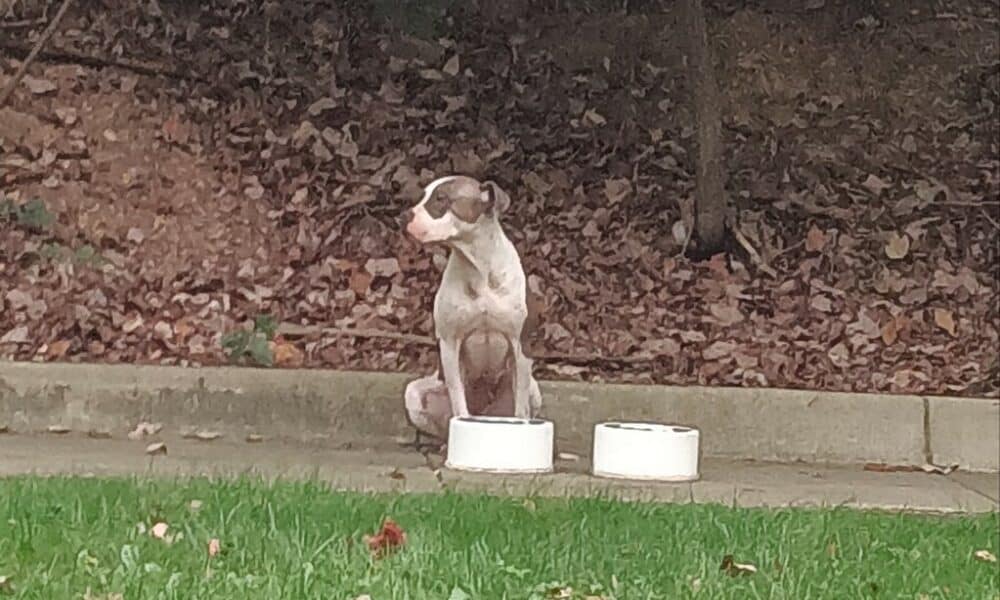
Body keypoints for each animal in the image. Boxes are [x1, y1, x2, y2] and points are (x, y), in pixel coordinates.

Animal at [400, 173, 544, 440]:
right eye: (422, 196)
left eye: (441, 198)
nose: (405, 216)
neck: (478, 266)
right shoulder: (450, 345)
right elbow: (459, 401)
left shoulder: (520, 346)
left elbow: (520, 408)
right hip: (415, 394)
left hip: (533, 391)